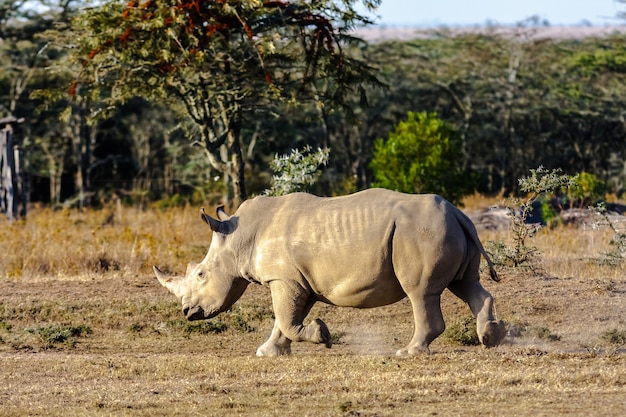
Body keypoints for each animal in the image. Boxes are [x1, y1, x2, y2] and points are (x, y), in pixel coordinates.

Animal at [154, 188, 504, 354]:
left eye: (200, 274)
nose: (187, 312)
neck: (239, 239)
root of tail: (458, 212)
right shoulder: (298, 279)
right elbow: (284, 320)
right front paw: (269, 352)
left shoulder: (283, 278)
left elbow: (286, 318)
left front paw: (322, 336)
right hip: (448, 228)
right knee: (466, 284)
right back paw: (491, 337)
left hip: (420, 232)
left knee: (420, 292)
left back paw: (409, 352)